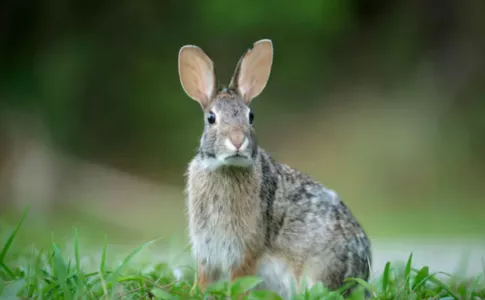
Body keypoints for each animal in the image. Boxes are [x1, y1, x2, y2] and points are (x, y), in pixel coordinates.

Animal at [178, 38, 370, 298]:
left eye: (251, 116)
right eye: (211, 118)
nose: (237, 141)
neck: (226, 168)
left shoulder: (246, 250)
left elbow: (239, 282)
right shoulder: (208, 251)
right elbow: (204, 280)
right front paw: (194, 292)